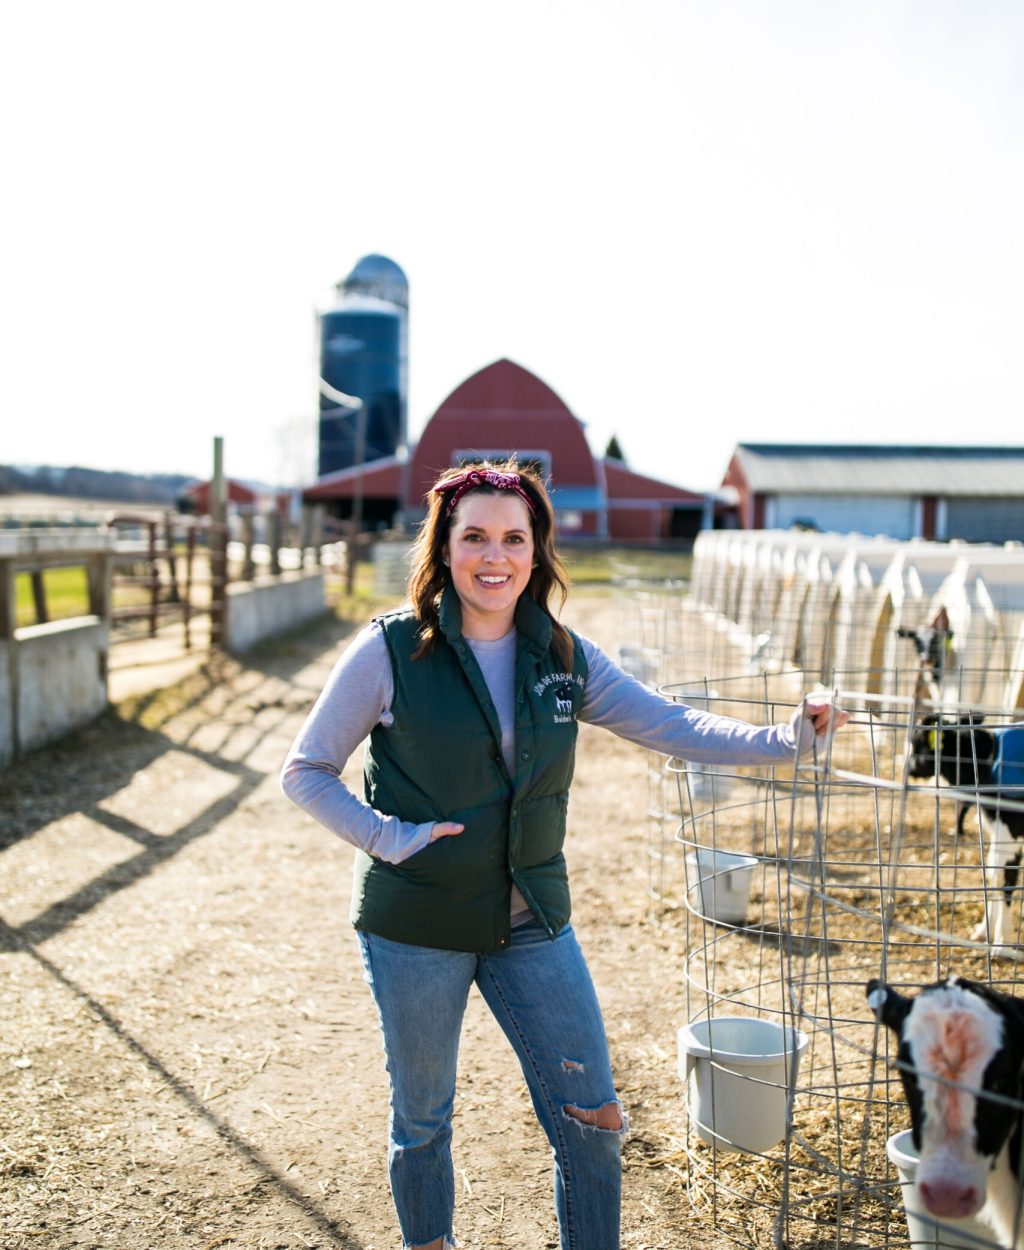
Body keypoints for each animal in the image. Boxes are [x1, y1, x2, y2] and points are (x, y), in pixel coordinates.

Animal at [910, 720, 1024, 950]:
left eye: (918, 745)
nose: (909, 768)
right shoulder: (996, 828)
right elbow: (992, 873)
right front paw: (983, 931)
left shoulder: (1010, 830)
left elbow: (1004, 879)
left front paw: (1002, 942)